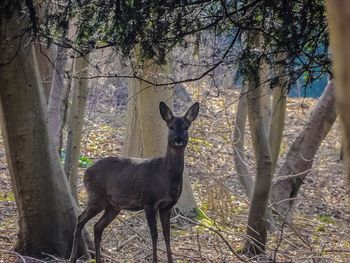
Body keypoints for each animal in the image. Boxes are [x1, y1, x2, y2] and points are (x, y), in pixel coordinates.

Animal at [69, 101, 200, 263]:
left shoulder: (167, 206)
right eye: (171, 126)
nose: (178, 139)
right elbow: (154, 234)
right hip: (96, 196)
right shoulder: (149, 202)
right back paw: (72, 258)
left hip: (113, 206)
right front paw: (154, 260)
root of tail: (86, 172)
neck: (166, 175)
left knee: (97, 227)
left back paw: (98, 259)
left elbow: (167, 236)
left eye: (186, 127)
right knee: (80, 219)